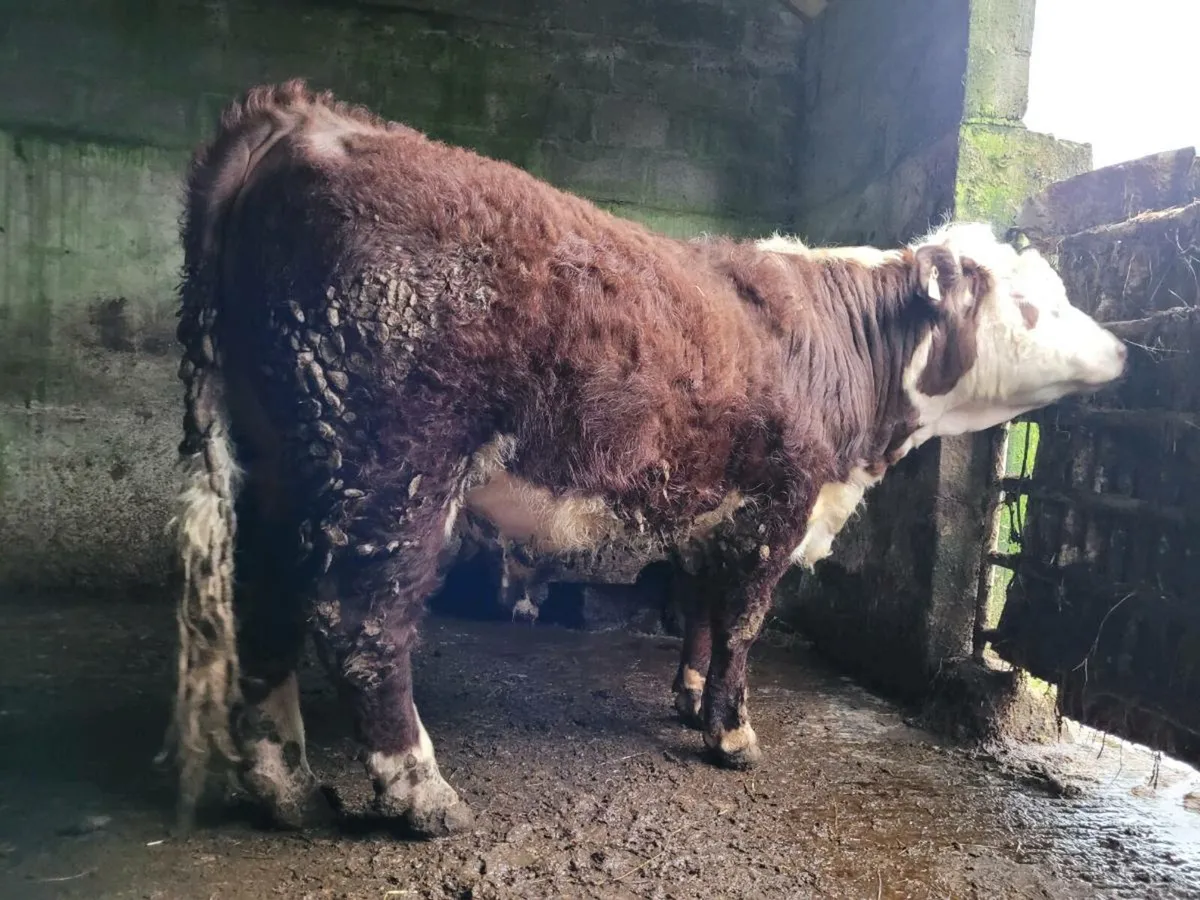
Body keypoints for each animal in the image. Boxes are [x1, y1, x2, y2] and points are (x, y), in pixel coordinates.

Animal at [161, 79, 1127, 840]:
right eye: (1033, 305)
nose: (1122, 350)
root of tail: (302, 118)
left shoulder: (711, 508)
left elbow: (700, 609)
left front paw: (689, 695)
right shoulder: (776, 504)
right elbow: (743, 623)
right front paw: (731, 734)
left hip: (281, 461)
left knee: (267, 600)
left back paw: (283, 784)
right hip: (392, 466)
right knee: (361, 622)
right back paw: (420, 793)